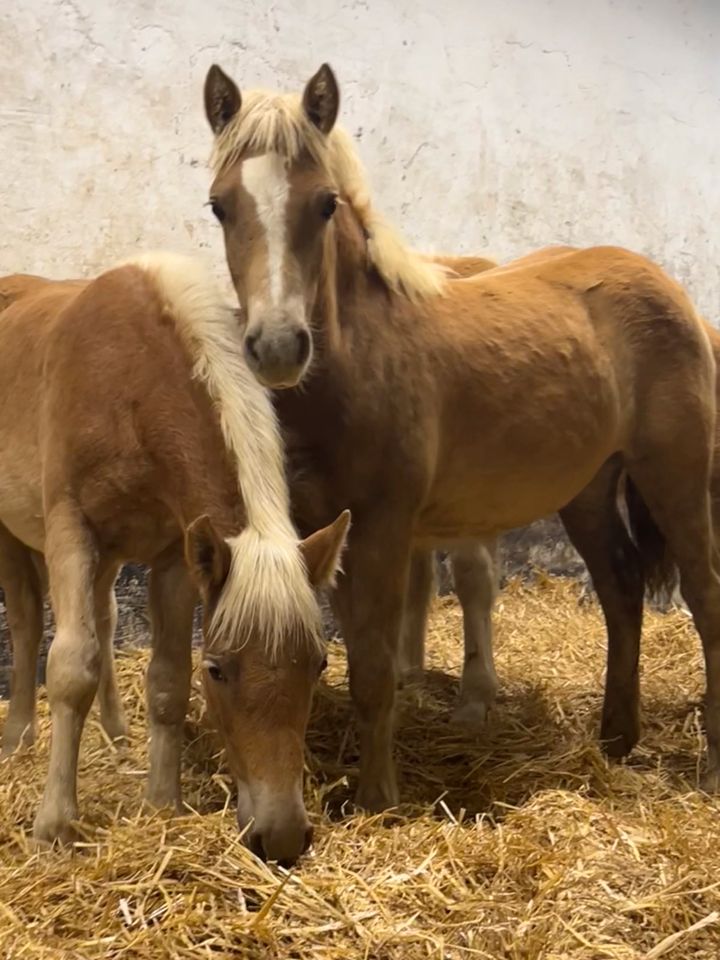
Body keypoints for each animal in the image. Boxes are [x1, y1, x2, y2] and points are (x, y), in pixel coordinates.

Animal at [0, 253, 348, 864]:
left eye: (320, 664)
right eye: (220, 669)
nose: (282, 836)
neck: (128, 384)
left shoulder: (175, 557)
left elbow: (166, 680)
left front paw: (163, 804)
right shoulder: (71, 530)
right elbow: (69, 668)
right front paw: (54, 825)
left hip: (110, 559)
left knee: (105, 618)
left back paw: (117, 735)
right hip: (17, 535)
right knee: (24, 623)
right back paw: (18, 739)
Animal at [200, 62, 720, 808]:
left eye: (325, 204)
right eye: (220, 205)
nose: (277, 346)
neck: (363, 356)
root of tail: (673, 294)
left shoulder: (385, 528)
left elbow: (374, 668)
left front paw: (377, 799)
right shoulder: (329, 529)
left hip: (673, 475)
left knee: (705, 597)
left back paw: (709, 765)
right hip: (589, 489)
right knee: (621, 589)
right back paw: (615, 740)